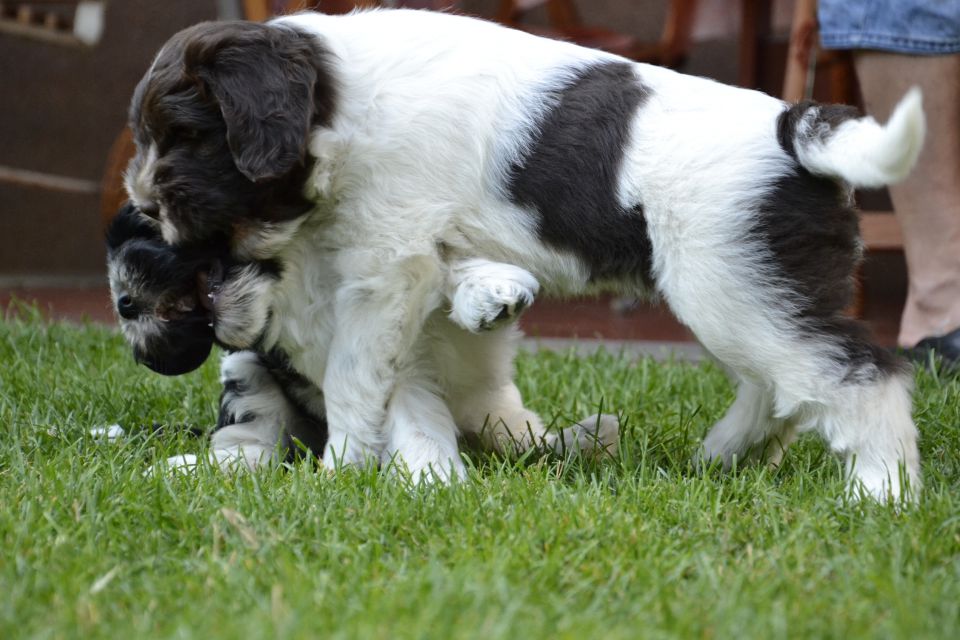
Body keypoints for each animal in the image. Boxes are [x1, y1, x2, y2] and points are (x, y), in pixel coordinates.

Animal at [122, 8, 924, 500]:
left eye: (186, 134)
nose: (147, 208)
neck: (343, 103)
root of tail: (796, 128)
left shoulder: (388, 260)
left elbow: (353, 377)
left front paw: (341, 471)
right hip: (743, 290)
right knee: (781, 384)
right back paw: (725, 456)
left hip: (732, 285)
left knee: (857, 375)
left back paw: (881, 492)